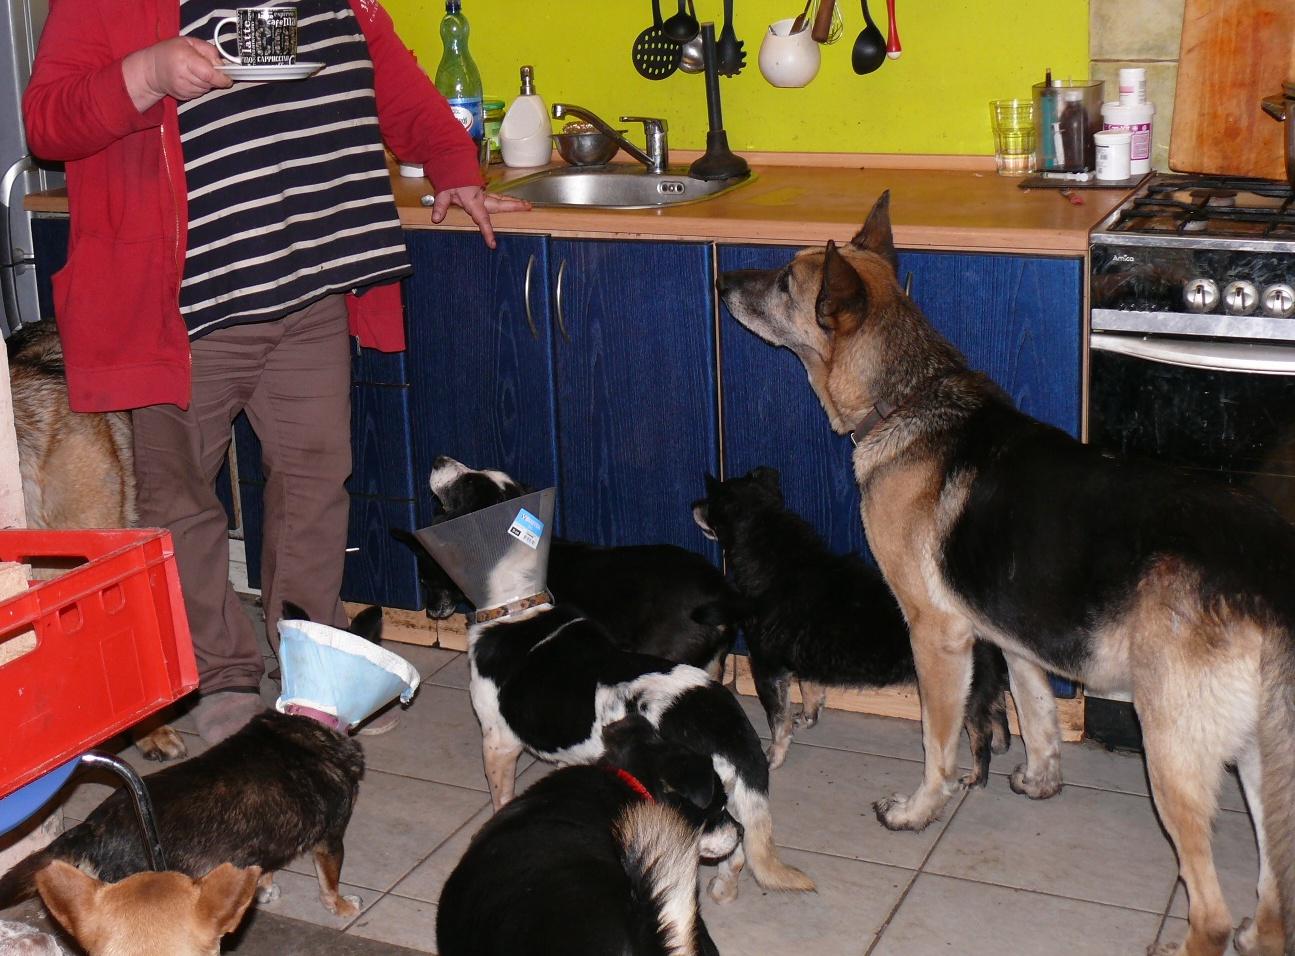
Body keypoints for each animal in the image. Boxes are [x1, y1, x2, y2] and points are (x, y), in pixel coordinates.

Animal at [0, 604, 377, 918]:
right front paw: (341, 905)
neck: (308, 715)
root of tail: (92, 828)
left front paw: (263, 889)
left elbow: (266, 866)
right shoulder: (331, 837)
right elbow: (330, 880)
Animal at [426, 462, 815, 904]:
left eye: (468, 483)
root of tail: (724, 727)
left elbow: (500, 797)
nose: (439, 460)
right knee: (737, 847)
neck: (519, 608)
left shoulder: (497, 741)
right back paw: (723, 888)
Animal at [692, 465, 1011, 778]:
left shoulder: (767, 668)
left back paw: (975, 776)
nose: (693, 505)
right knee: (999, 713)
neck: (778, 563)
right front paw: (807, 718)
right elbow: (810, 691)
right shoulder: (804, 662)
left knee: (980, 731)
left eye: (710, 502)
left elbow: (778, 721)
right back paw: (1001, 747)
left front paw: (774, 756)